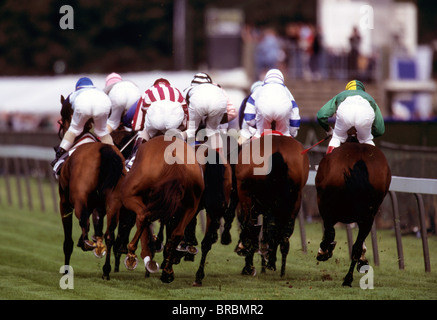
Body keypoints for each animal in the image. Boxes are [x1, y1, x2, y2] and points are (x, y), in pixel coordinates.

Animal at [120, 135, 204, 282]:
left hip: (130, 196)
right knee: (177, 233)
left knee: (143, 217)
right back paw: (167, 271)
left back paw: (132, 254)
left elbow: (143, 221)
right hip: (191, 205)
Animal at [316, 136, 390, 286]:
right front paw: (363, 260)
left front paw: (324, 251)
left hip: (328, 207)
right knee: (356, 246)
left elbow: (329, 233)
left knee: (332, 233)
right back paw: (348, 279)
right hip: (369, 215)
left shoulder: (327, 210)